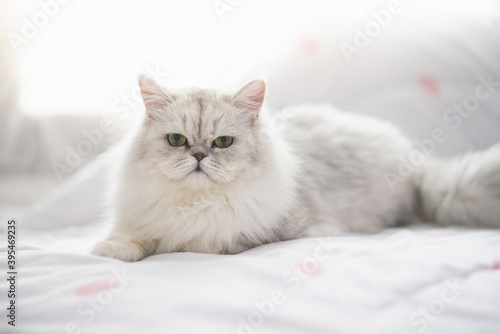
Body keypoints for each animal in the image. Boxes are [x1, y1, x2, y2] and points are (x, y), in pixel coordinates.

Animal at [90, 75, 500, 260]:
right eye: (177, 140)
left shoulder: (258, 235)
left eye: (222, 143)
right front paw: (110, 251)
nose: (200, 157)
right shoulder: (145, 218)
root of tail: (416, 164)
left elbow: (198, 243)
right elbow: (135, 238)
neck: (197, 204)